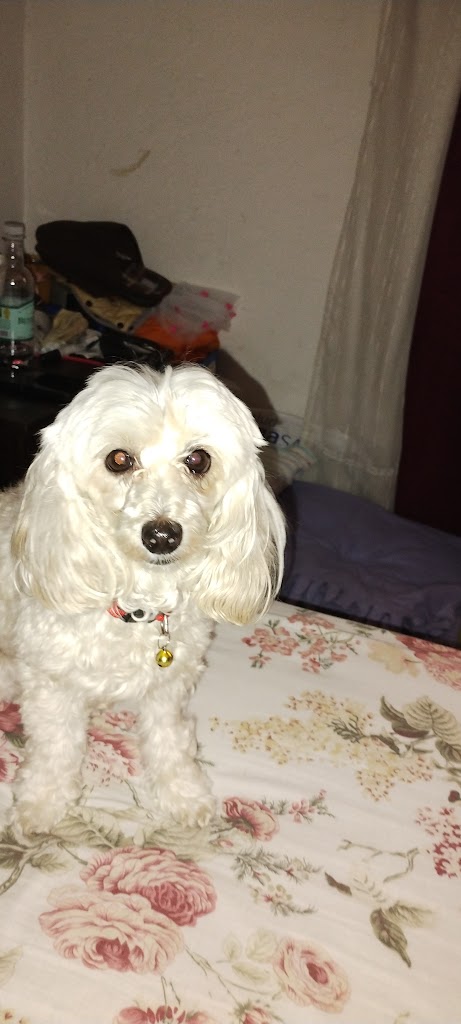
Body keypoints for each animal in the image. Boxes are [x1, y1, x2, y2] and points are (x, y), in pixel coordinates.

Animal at [0, 362, 285, 834]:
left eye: (198, 459)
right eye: (119, 459)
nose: (162, 535)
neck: (134, 606)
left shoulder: (169, 685)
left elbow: (168, 738)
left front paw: (181, 792)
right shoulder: (49, 682)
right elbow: (56, 746)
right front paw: (42, 800)